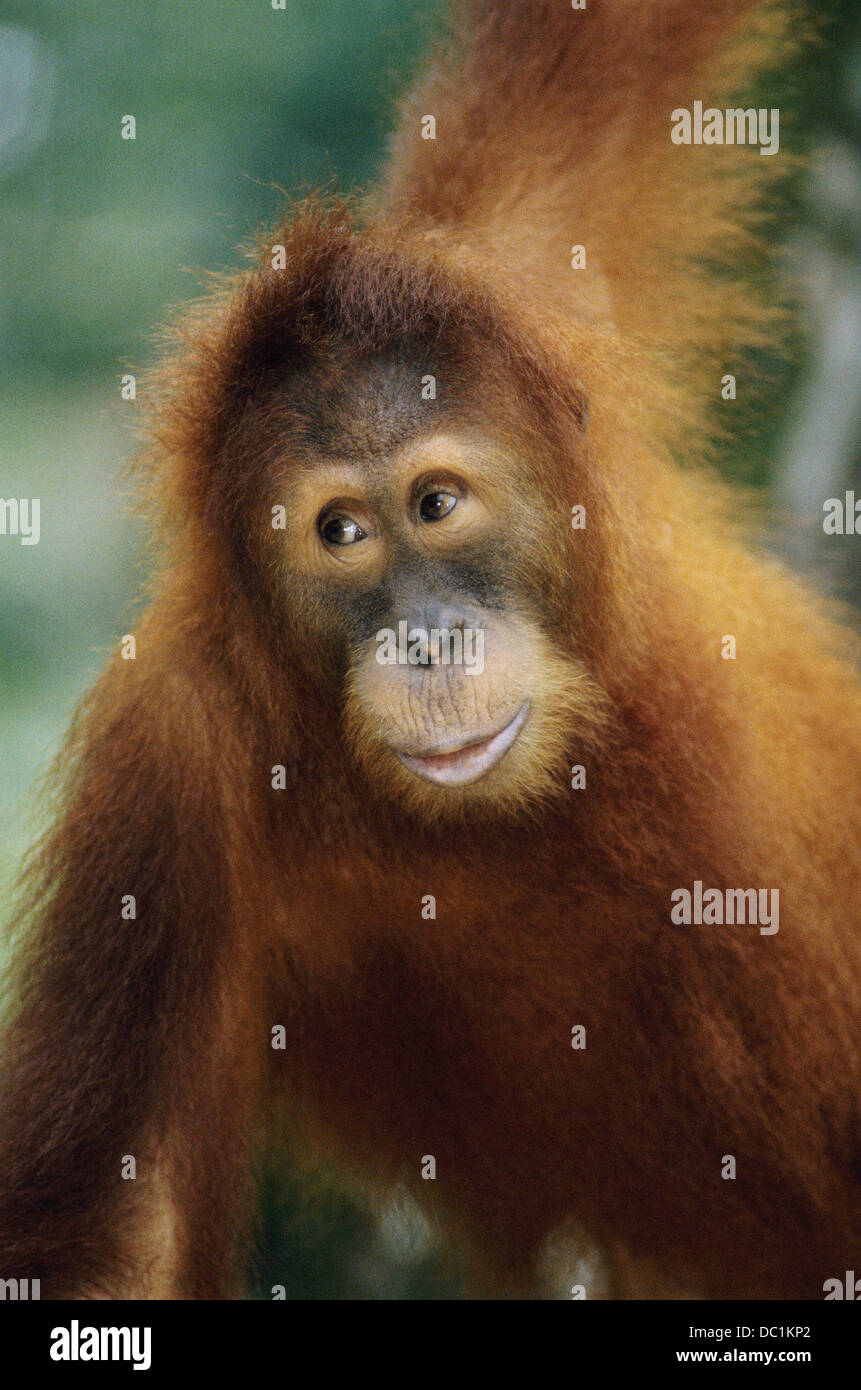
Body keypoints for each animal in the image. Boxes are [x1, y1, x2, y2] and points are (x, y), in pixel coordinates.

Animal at [0, 0, 859, 1301]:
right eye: (341, 533)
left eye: (438, 503)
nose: (425, 638)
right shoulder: (166, 758)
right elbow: (119, 1219)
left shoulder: (531, 255)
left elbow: (619, 40)